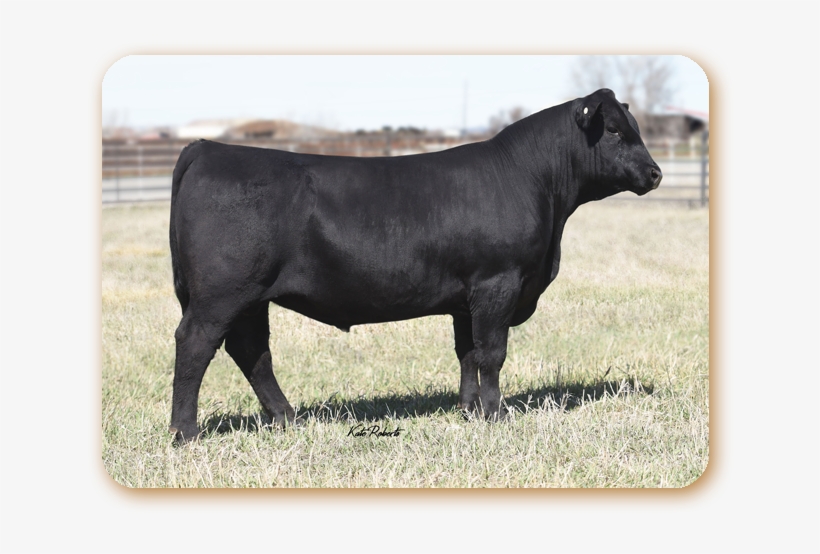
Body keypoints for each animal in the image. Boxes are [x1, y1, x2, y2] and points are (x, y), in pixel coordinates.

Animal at [168, 88, 662, 443]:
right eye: (613, 130)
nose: (656, 173)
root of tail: (209, 148)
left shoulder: (466, 298)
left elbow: (468, 353)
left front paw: (469, 409)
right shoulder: (497, 283)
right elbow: (493, 353)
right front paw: (496, 414)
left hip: (250, 297)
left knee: (252, 351)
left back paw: (288, 418)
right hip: (223, 293)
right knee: (196, 344)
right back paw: (186, 432)